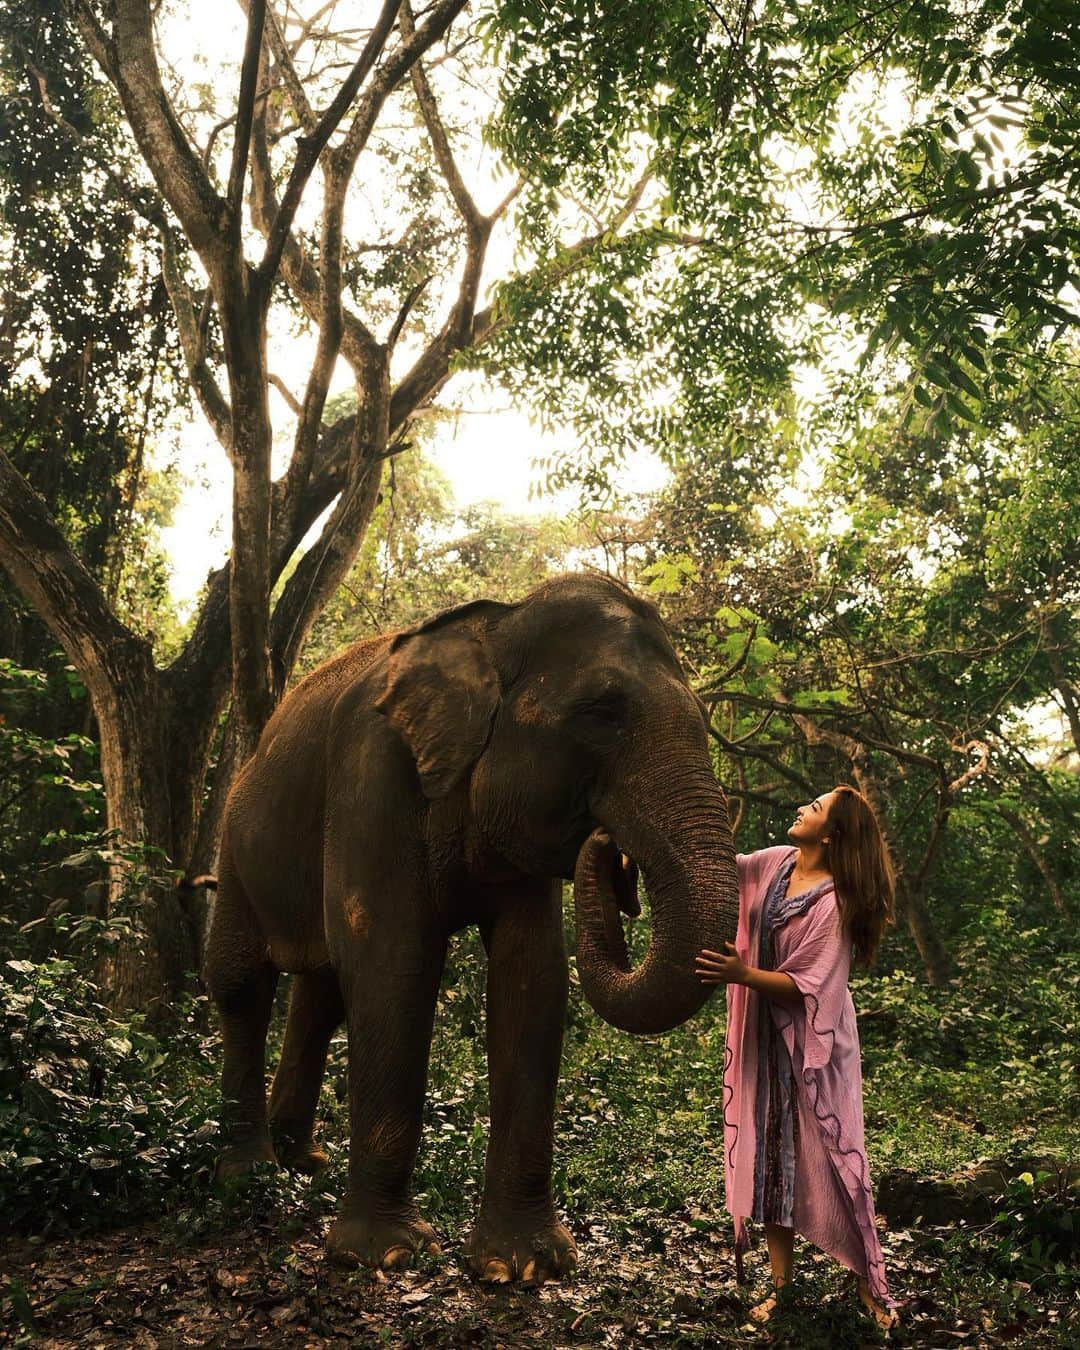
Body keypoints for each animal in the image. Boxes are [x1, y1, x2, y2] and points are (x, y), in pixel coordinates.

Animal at [202, 572, 739, 1285]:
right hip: (235, 841)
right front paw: (385, 1254)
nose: (610, 851)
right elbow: (394, 965)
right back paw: (249, 1174)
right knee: (243, 983)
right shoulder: (373, 778)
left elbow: (531, 975)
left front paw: (526, 1265)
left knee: (320, 993)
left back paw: (303, 1164)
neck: (494, 626)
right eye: (602, 713)